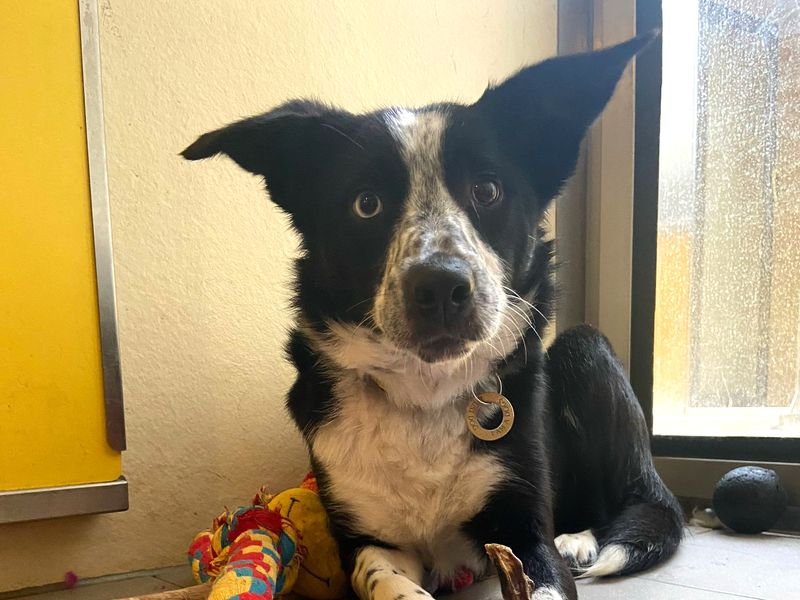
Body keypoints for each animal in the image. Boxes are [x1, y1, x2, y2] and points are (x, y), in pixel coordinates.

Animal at [181, 32, 680, 600]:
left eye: (487, 190)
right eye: (366, 204)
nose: (440, 286)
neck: (425, 393)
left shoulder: (525, 523)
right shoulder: (367, 539)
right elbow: (387, 580)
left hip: (584, 348)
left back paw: (579, 538)